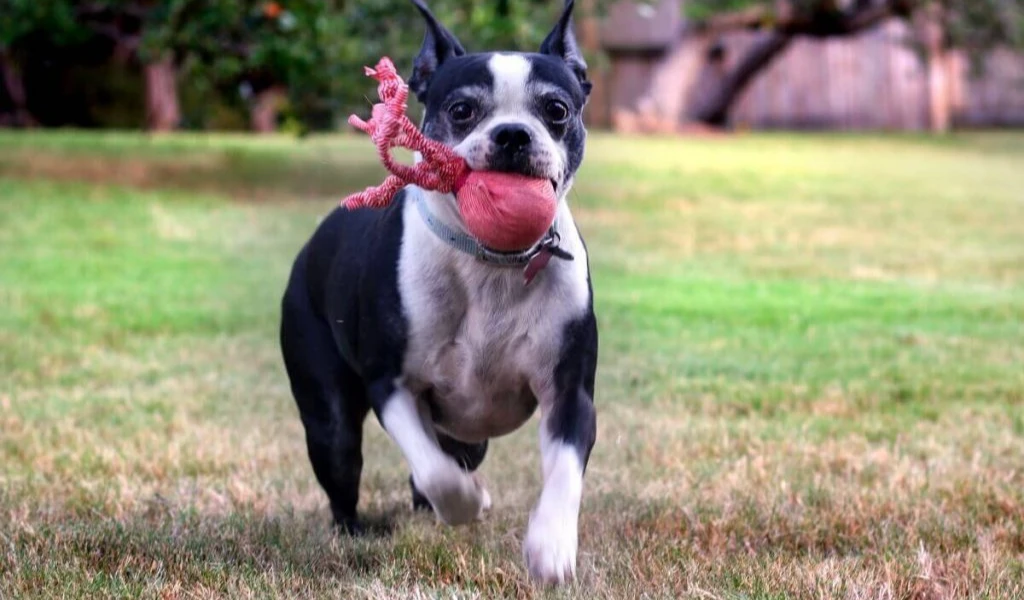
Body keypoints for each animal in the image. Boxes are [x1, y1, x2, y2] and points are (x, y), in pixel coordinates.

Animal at [280, 0, 598, 581]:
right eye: (462, 110)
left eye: (557, 109)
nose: (513, 134)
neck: (492, 263)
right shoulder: (392, 384)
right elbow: (436, 472)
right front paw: (468, 502)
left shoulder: (569, 392)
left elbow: (563, 473)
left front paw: (551, 547)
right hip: (329, 417)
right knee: (345, 469)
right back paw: (355, 531)